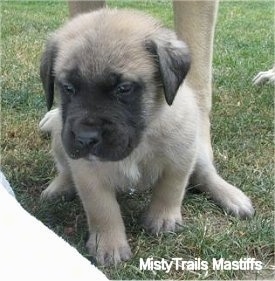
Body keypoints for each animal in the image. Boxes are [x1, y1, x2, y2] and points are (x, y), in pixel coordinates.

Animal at [39, 7, 254, 264]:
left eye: (124, 89)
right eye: (68, 88)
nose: (85, 138)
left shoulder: (180, 157)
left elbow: (171, 189)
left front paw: (163, 218)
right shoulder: (88, 172)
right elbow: (102, 210)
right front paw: (109, 244)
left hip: (197, 149)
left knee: (205, 174)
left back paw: (231, 196)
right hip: (60, 140)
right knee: (65, 169)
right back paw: (61, 186)